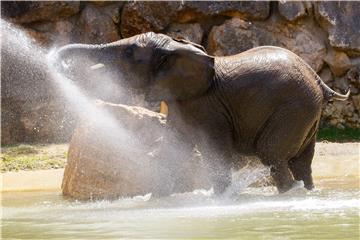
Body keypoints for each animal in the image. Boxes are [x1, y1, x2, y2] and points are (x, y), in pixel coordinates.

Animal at [54, 31, 350, 193]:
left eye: (128, 53)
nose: (59, 64)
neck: (177, 48)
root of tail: (318, 81)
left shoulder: (208, 109)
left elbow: (215, 154)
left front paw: (220, 201)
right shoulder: (180, 106)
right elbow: (169, 150)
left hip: (293, 108)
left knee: (273, 155)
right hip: (307, 112)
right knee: (301, 163)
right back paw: (306, 192)